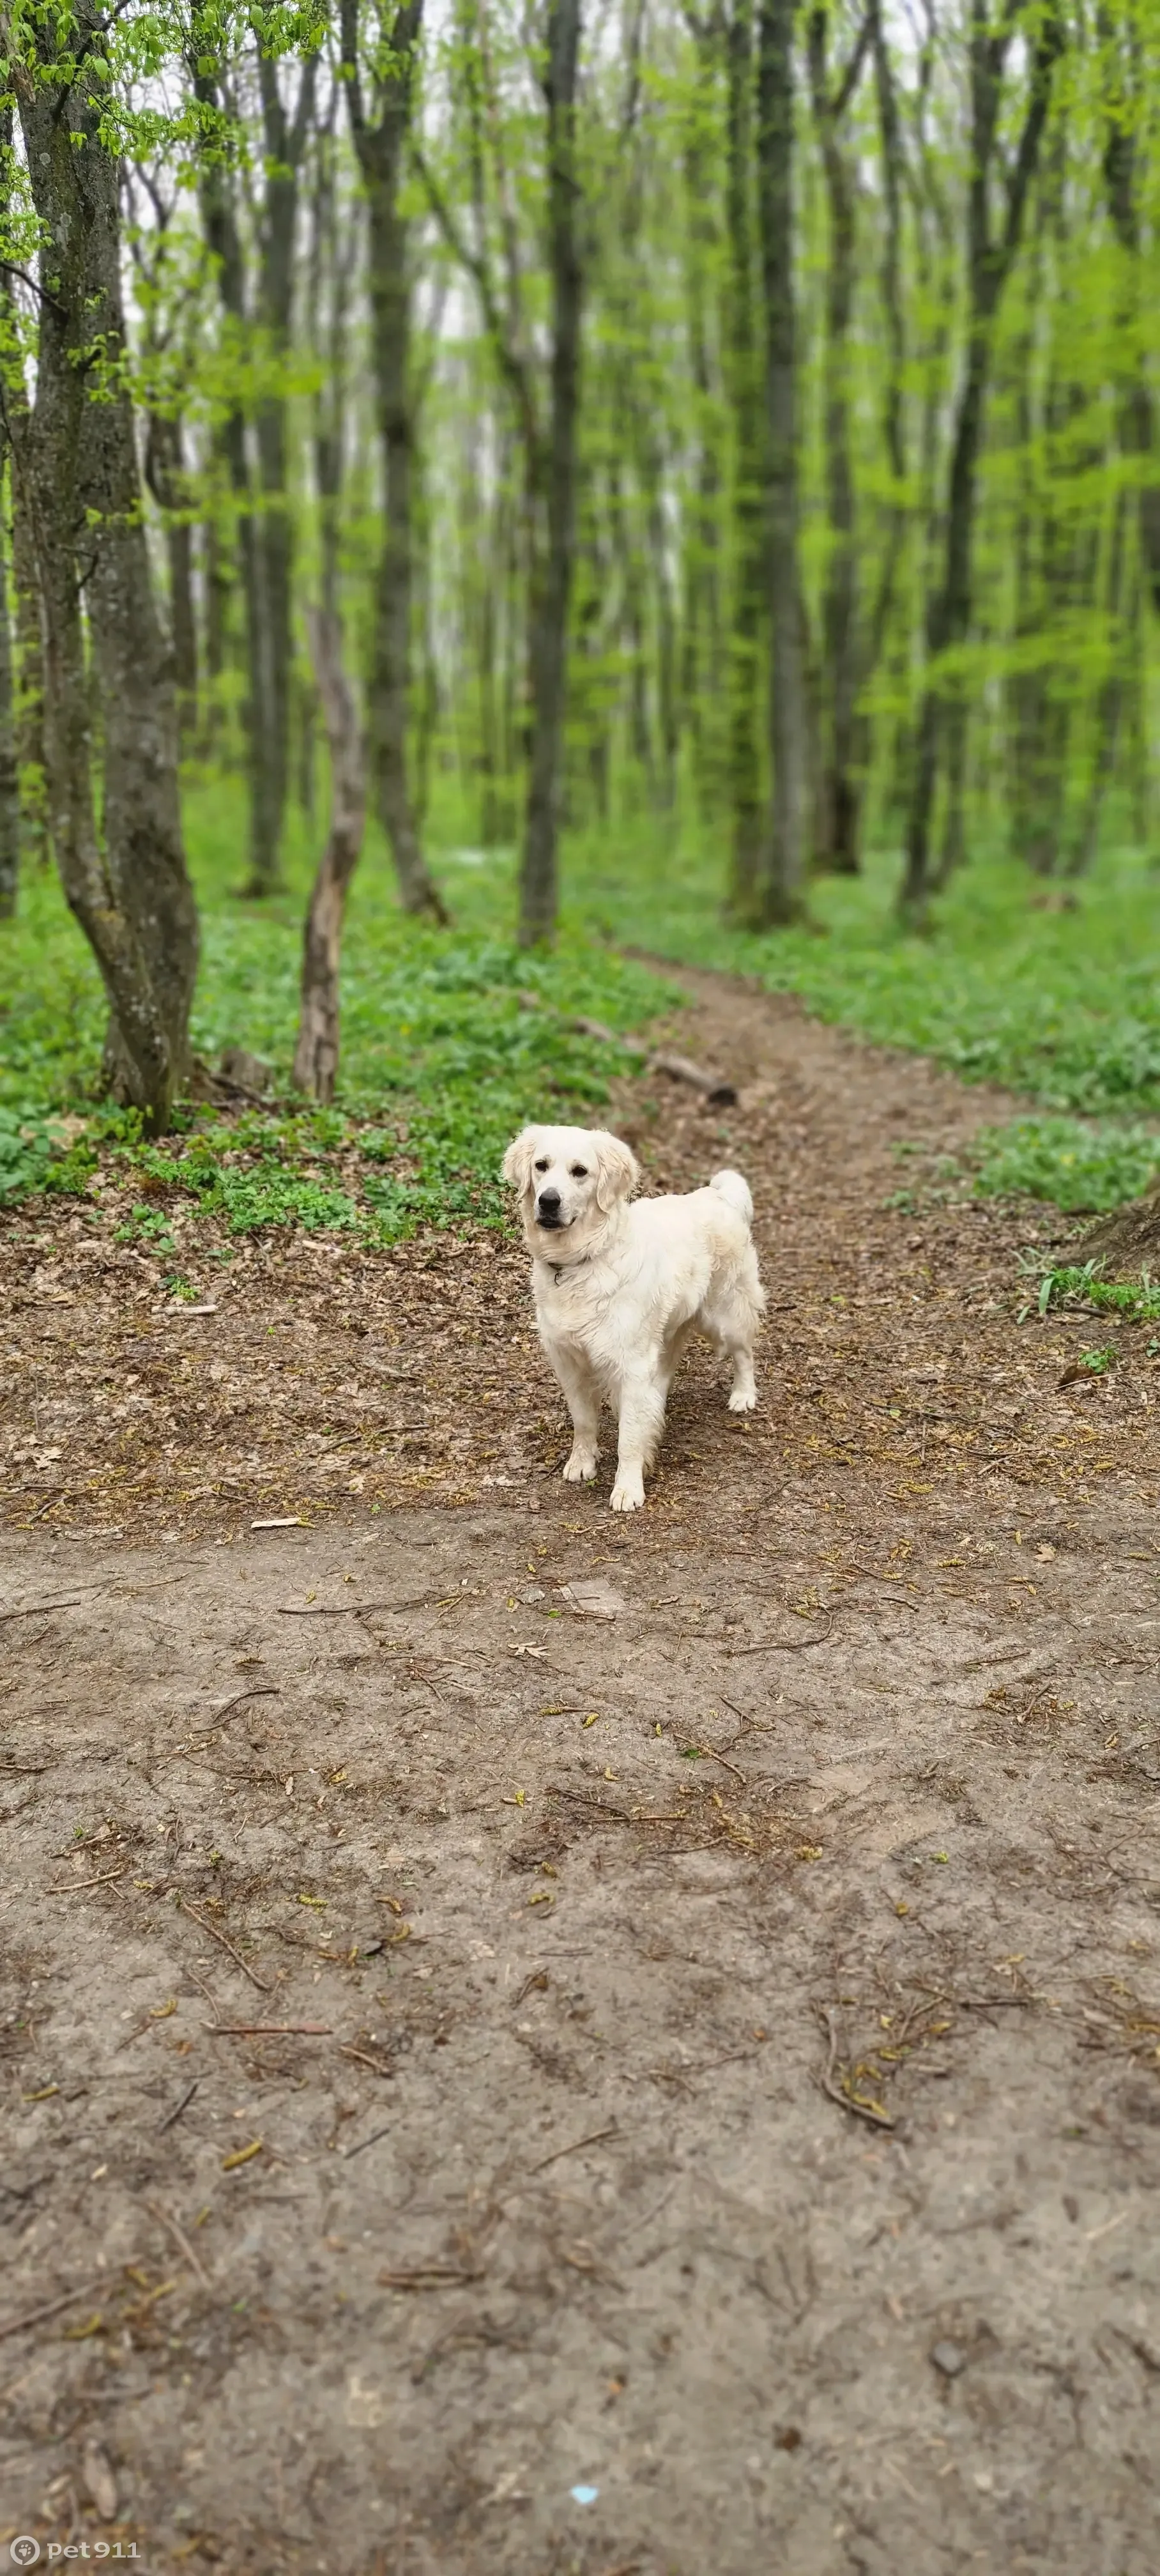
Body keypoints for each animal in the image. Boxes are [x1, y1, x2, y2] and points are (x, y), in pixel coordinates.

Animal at [502, 1123, 768, 1504]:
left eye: (580, 1171)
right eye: (541, 1166)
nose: (548, 1201)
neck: (581, 1261)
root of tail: (716, 1195)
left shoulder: (631, 1363)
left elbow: (628, 1437)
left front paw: (628, 1488)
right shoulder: (569, 1360)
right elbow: (584, 1420)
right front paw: (582, 1463)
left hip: (724, 1315)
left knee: (744, 1352)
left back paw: (743, 1396)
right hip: (669, 1329)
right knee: (666, 1371)